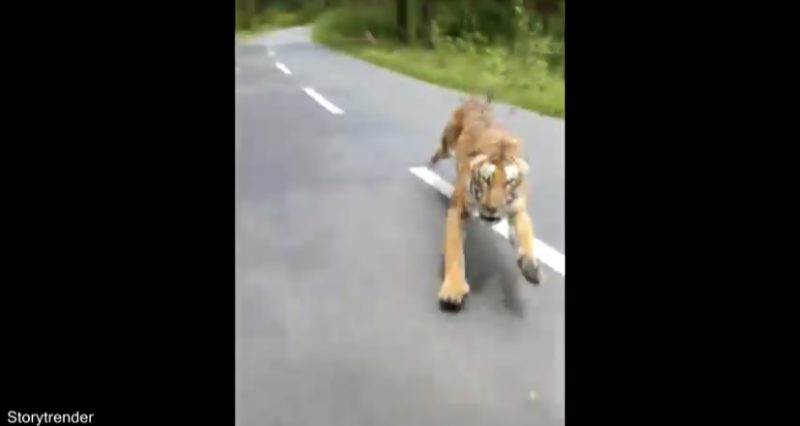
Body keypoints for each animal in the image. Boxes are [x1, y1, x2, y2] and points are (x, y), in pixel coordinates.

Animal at [427, 93, 543, 310]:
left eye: (509, 182)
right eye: (486, 180)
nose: (492, 209)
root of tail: (476, 99)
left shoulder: (518, 208)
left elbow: (526, 235)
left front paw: (530, 268)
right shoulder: (458, 209)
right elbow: (454, 250)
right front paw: (453, 290)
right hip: (447, 141)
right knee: (439, 151)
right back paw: (428, 166)